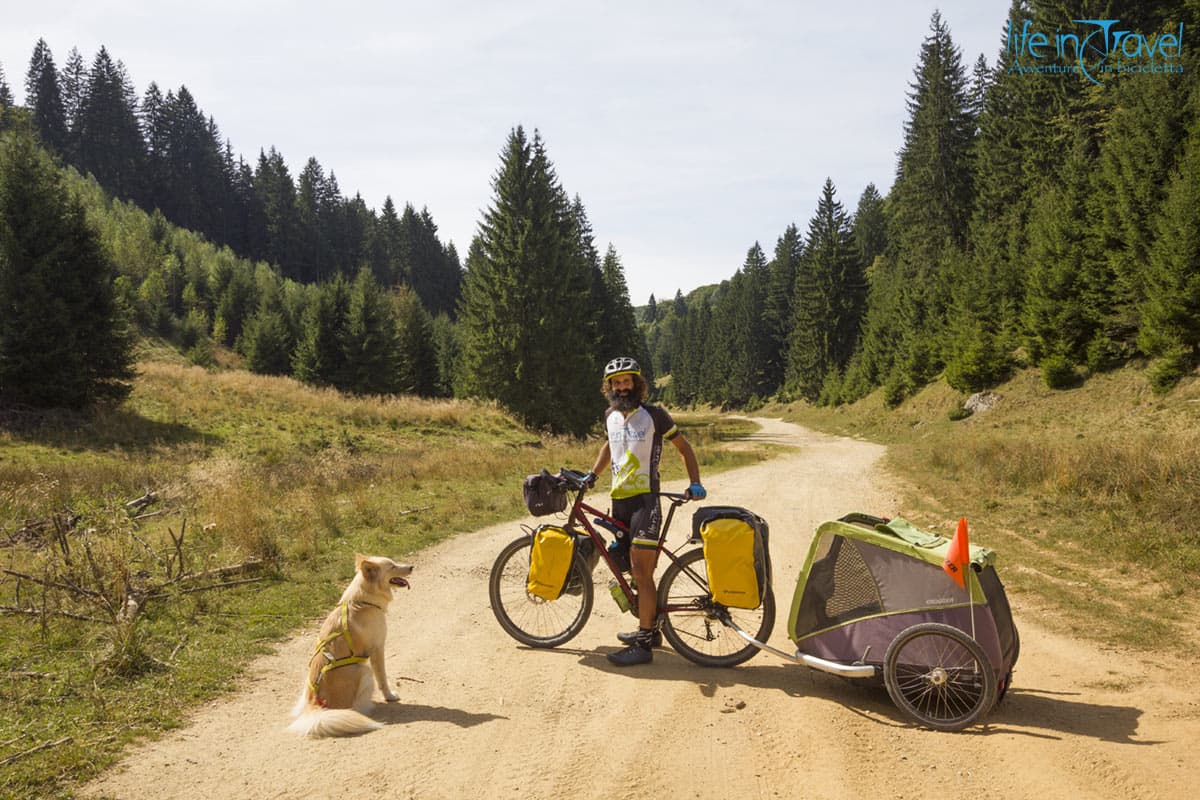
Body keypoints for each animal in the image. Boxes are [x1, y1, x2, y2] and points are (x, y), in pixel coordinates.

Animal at [288, 556, 415, 738]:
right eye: (392, 566)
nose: (411, 567)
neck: (363, 601)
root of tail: (315, 707)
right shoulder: (378, 649)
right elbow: (383, 679)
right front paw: (390, 696)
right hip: (364, 670)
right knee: (356, 708)